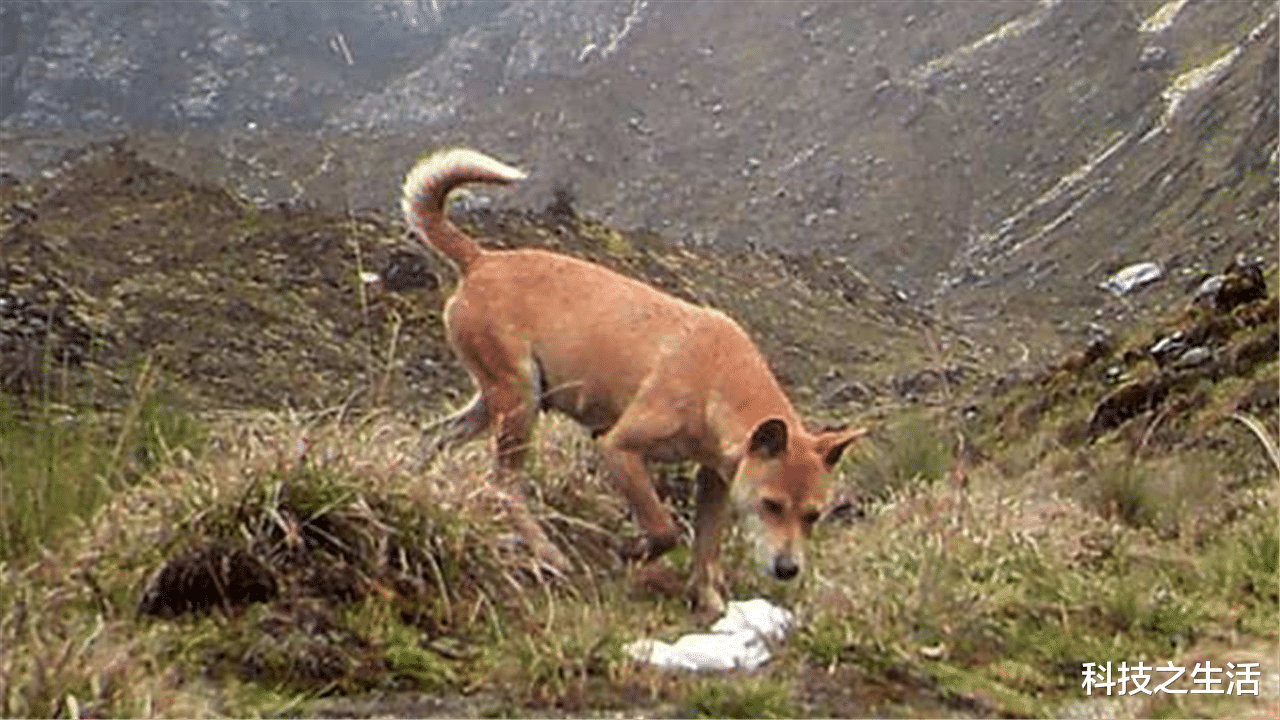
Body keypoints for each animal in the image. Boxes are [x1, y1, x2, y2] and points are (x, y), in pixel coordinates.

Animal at [404, 146, 865, 609]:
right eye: (771, 505)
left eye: (812, 515)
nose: (788, 570)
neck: (716, 379)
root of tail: (481, 260)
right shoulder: (619, 449)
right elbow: (665, 529)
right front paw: (633, 551)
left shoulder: (714, 481)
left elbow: (706, 549)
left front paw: (710, 604)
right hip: (519, 403)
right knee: (502, 485)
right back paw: (547, 552)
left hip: (499, 401)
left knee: (433, 437)